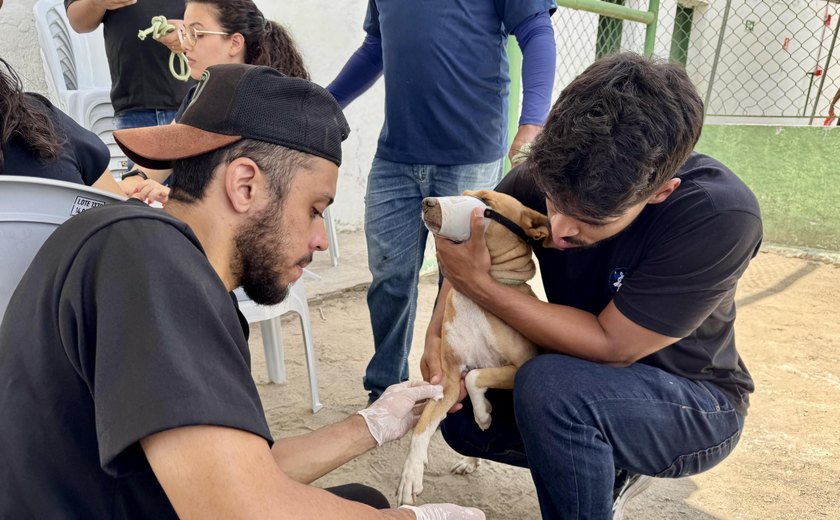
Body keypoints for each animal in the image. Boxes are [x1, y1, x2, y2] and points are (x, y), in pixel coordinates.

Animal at [398, 190, 548, 504]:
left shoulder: (518, 367)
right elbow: (422, 426)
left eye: (486, 203)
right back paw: (470, 460)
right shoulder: (448, 381)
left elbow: (476, 376)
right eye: (464, 194)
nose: (427, 202)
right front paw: (411, 474)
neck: (474, 298)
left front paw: (482, 413)